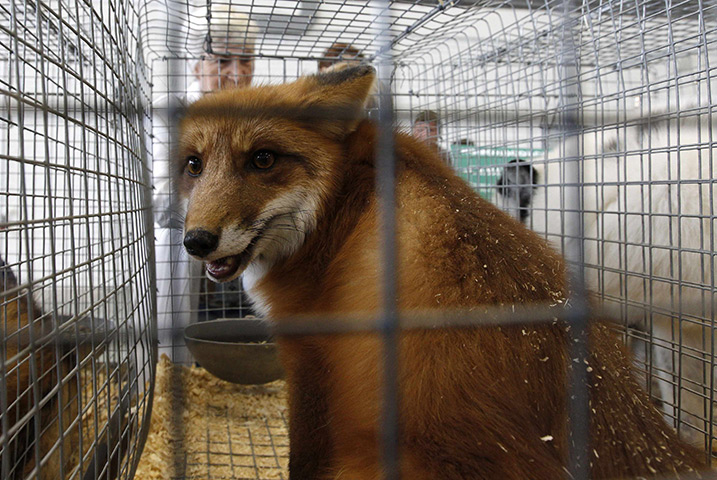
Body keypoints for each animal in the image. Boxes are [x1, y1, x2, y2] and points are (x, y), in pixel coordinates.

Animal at [177, 65, 706, 479]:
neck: (341, 201)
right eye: (194, 165)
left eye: (263, 159)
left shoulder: (307, 354)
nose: (196, 241)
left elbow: (302, 460)